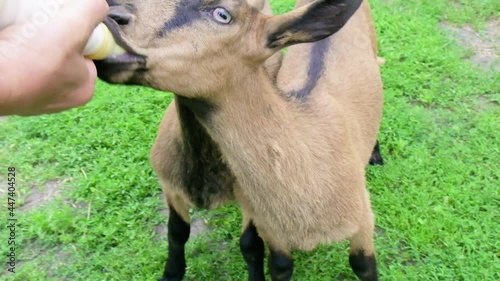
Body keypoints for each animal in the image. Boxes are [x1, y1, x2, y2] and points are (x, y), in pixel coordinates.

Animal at [96, 0, 382, 278]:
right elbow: (277, 265)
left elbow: (363, 265)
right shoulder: (270, 230)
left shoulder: (364, 219)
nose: (113, 15)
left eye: (222, 14)